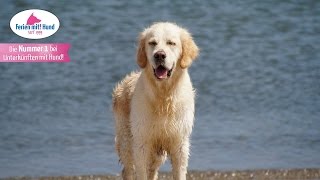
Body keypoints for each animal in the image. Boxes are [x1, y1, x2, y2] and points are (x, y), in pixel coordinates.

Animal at [112, 22, 198, 180]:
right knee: (128, 170)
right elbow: (141, 172)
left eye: (171, 43)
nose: (159, 55)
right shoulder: (142, 142)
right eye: (152, 43)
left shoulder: (179, 143)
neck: (163, 96)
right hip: (126, 140)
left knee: (152, 170)